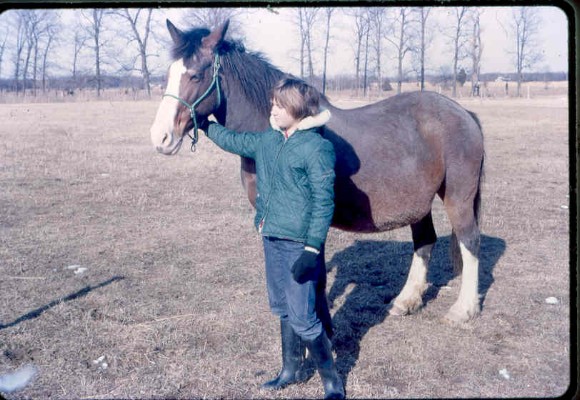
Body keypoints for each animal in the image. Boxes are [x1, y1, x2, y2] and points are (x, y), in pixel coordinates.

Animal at [150, 19, 484, 324]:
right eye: (168, 75)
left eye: (196, 74)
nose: (161, 137)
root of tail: (464, 113)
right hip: (419, 203)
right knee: (425, 241)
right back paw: (406, 301)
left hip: (458, 198)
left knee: (470, 242)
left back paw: (463, 310)